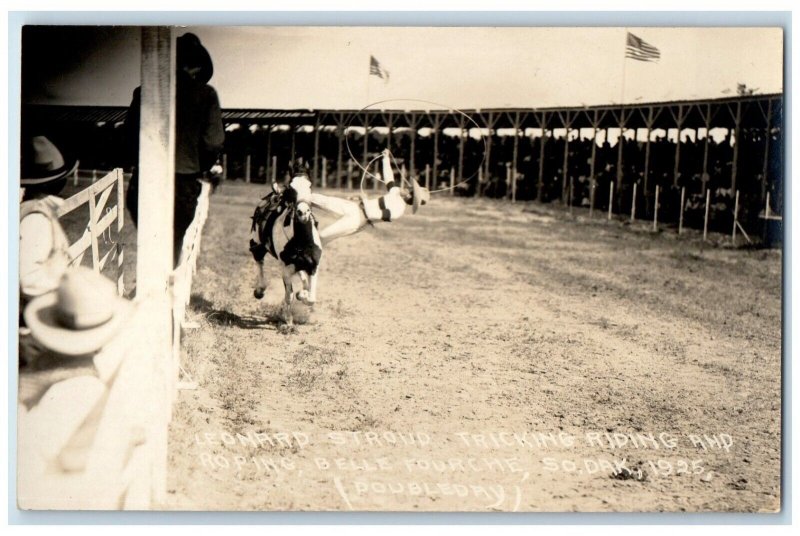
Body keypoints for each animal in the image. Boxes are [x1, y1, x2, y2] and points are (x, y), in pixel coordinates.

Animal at [252, 176, 324, 324]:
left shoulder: (313, 266)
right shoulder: (285, 269)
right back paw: (260, 290)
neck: (302, 242)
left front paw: (302, 294)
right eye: (292, 190)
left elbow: (311, 298)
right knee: (259, 260)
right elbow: (288, 295)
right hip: (257, 245)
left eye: (310, 187)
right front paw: (288, 320)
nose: (303, 213)